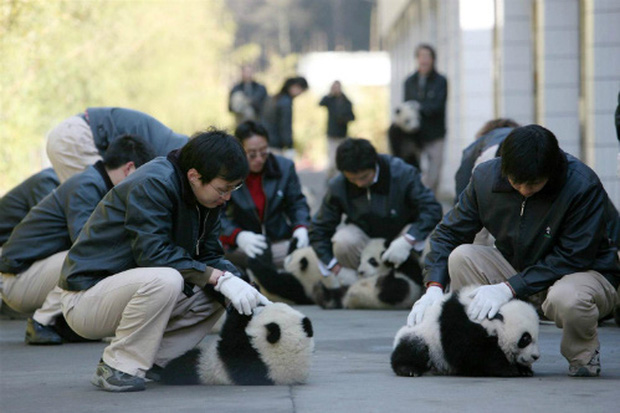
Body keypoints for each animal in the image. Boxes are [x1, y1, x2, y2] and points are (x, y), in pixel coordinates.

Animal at [161, 300, 314, 384]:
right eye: (264, 306)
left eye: (261, 311)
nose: (258, 306)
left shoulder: (247, 360)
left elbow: (230, 338)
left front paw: (240, 310)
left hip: (199, 368)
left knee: (183, 366)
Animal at [392, 286, 544, 376]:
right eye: (525, 339)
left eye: (537, 336)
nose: (535, 356)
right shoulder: (459, 326)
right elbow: (474, 354)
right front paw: (509, 369)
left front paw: (524, 370)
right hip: (425, 337)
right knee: (413, 348)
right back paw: (408, 369)